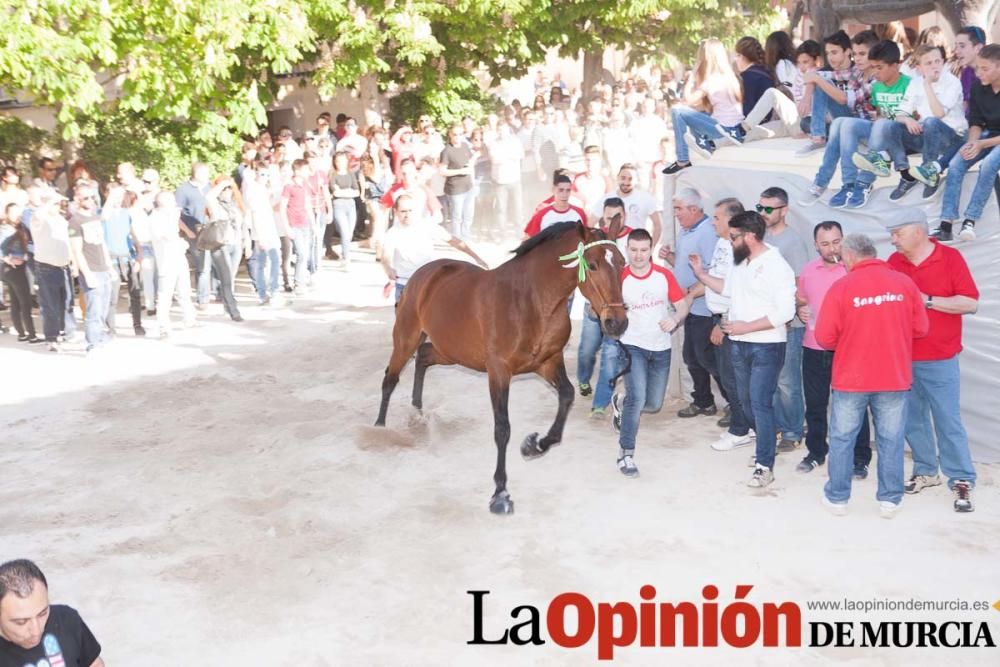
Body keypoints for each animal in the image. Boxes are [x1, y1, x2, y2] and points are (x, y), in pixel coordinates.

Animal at [376, 222, 624, 516]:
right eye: (594, 265)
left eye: (622, 262)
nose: (618, 323)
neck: (531, 301)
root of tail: (421, 273)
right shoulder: (499, 371)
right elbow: (502, 428)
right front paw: (500, 493)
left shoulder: (548, 362)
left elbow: (567, 395)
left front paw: (534, 445)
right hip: (406, 337)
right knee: (390, 378)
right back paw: (379, 427)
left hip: (450, 351)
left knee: (423, 357)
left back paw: (417, 410)